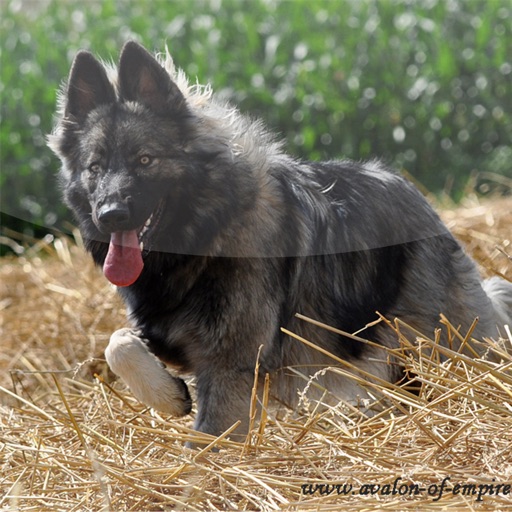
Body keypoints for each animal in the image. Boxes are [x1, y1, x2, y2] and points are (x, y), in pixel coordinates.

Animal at [49, 42, 512, 446]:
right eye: (94, 167)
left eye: (145, 160)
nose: (110, 215)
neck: (206, 237)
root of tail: (418, 197)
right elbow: (117, 342)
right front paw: (167, 394)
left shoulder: (229, 369)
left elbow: (205, 446)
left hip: (445, 344)